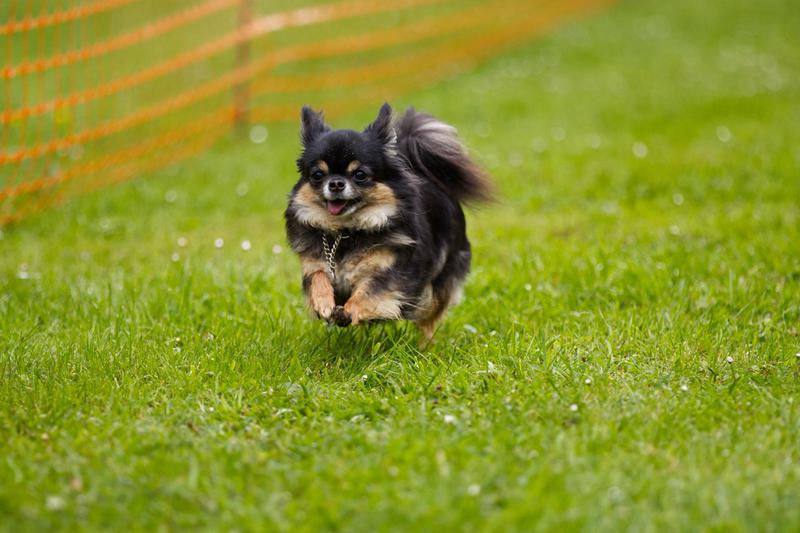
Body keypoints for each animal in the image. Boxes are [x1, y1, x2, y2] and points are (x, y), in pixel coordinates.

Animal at [284, 103, 493, 340]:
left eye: (360, 175)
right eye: (317, 175)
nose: (336, 183)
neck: (346, 231)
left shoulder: (389, 274)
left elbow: (369, 292)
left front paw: (349, 311)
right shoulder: (315, 265)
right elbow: (318, 277)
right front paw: (323, 303)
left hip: (435, 289)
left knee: (429, 321)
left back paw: (425, 346)